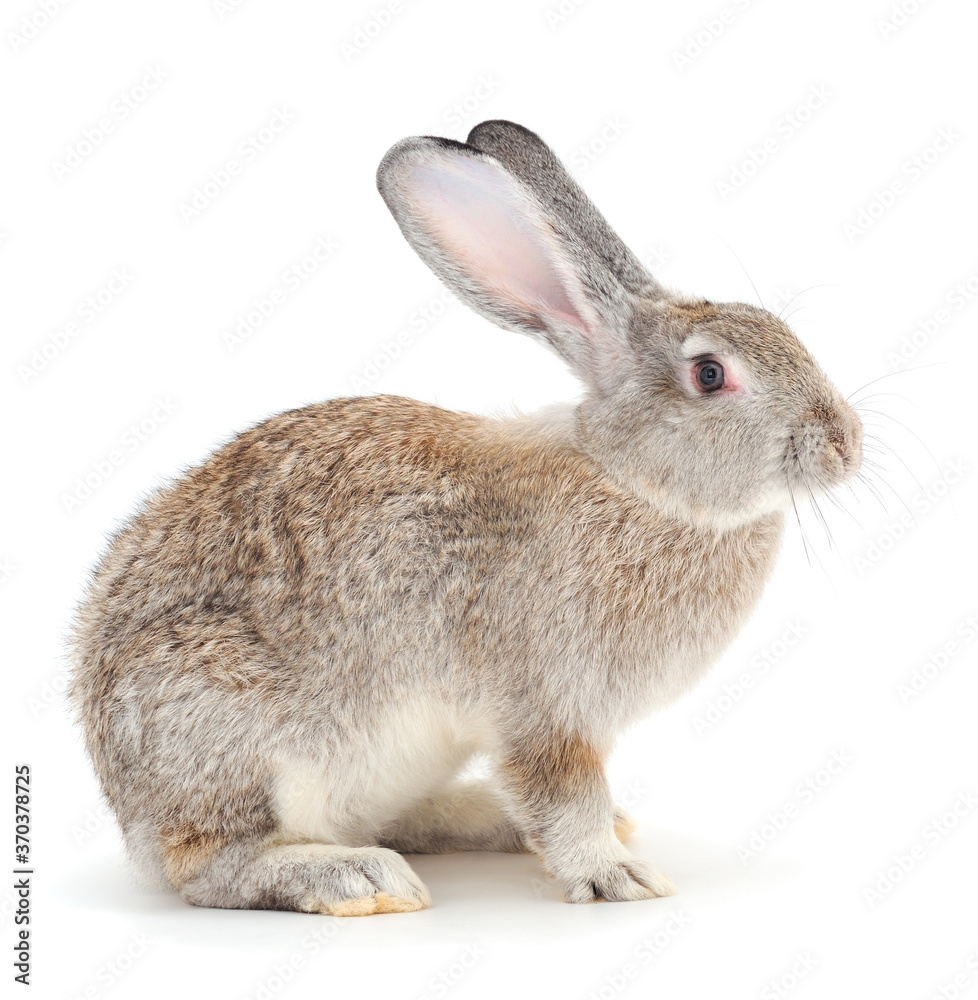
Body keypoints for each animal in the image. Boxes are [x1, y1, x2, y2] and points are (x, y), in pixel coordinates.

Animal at [70, 119, 863, 916]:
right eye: (710, 374)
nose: (844, 444)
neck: (634, 480)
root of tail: (126, 806)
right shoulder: (546, 711)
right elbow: (563, 799)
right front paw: (617, 875)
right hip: (242, 735)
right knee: (209, 865)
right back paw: (354, 875)